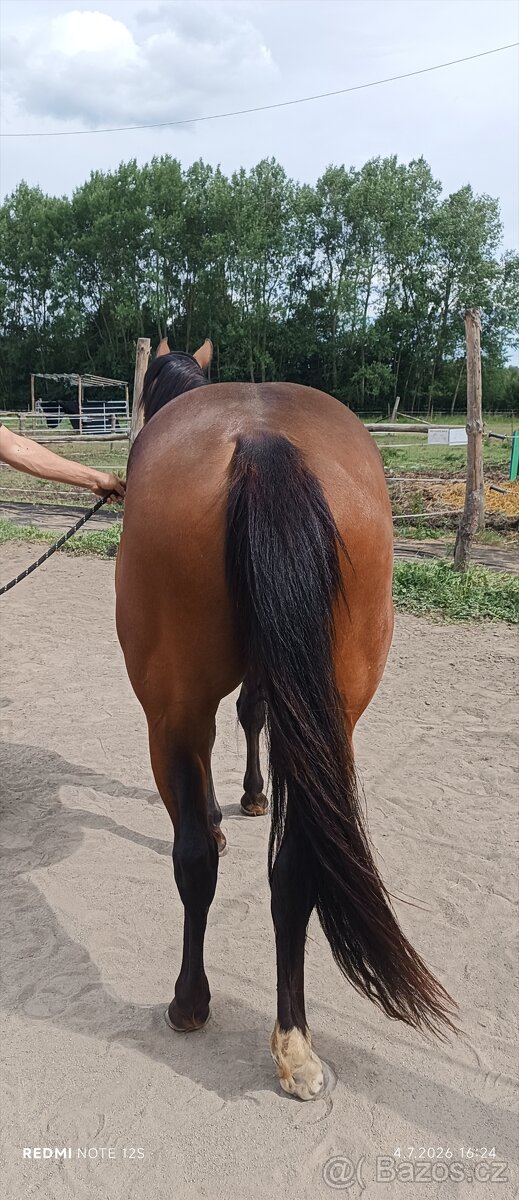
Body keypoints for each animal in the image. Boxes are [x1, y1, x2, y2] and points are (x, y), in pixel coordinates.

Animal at [115, 338, 455, 1100]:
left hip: (169, 712)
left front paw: (234, 802)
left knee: (194, 857)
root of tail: (261, 442)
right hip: (336, 717)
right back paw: (293, 1040)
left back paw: (190, 1002)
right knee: (296, 870)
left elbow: (239, 724)